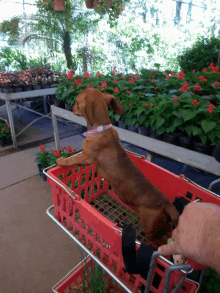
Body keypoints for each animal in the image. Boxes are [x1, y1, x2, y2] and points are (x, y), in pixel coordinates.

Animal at [57, 88, 180, 248]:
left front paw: (61, 160)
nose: (71, 107)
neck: (101, 129)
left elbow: (71, 160)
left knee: (160, 243)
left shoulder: (85, 157)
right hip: (161, 226)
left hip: (150, 228)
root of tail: (166, 203)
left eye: (77, 102)